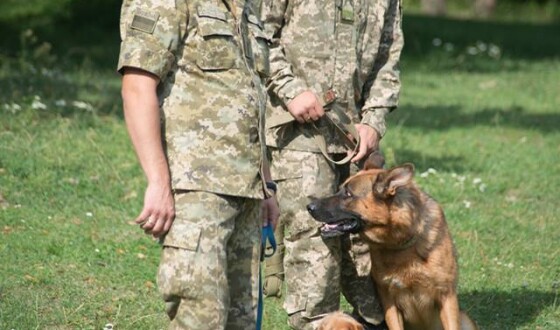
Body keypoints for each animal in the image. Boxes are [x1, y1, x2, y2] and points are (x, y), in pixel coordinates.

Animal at [310, 155, 476, 330]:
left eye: (348, 193)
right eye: (340, 189)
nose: (309, 206)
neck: (400, 244)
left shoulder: (446, 295)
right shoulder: (389, 301)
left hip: (465, 319)